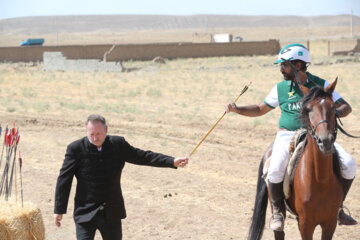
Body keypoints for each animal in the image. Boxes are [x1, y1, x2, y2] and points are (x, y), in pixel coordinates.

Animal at [248, 79, 344, 239]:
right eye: (309, 109)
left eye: (333, 107)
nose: (325, 141)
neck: (321, 179)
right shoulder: (306, 224)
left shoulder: (330, 223)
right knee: (279, 231)